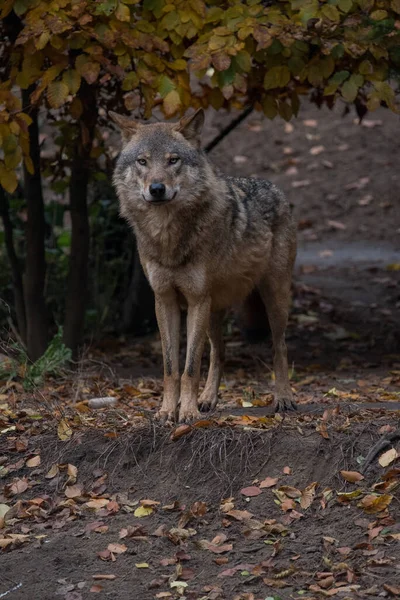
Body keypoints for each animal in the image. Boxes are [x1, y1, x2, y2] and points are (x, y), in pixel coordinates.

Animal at [109, 110, 296, 424]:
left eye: (173, 160)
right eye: (142, 161)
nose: (156, 189)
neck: (168, 237)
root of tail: (275, 188)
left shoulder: (196, 300)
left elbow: (190, 367)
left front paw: (187, 413)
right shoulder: (165, 300)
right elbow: (171, 367)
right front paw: (167, 411)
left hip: (273, 299)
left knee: (280, 347)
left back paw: (283, 398)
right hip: (213, 311)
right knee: (219, 352)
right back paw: (208, 399)